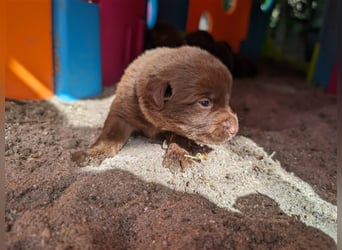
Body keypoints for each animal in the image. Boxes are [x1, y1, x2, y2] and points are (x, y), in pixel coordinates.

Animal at [72, 46, 238, 169]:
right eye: (205, 103)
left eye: (227, 100)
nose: (235, 129)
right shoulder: (121, 113)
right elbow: (110, 135)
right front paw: (92, 153)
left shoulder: (181, 126)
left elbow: (181, 135)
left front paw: (178, 155)